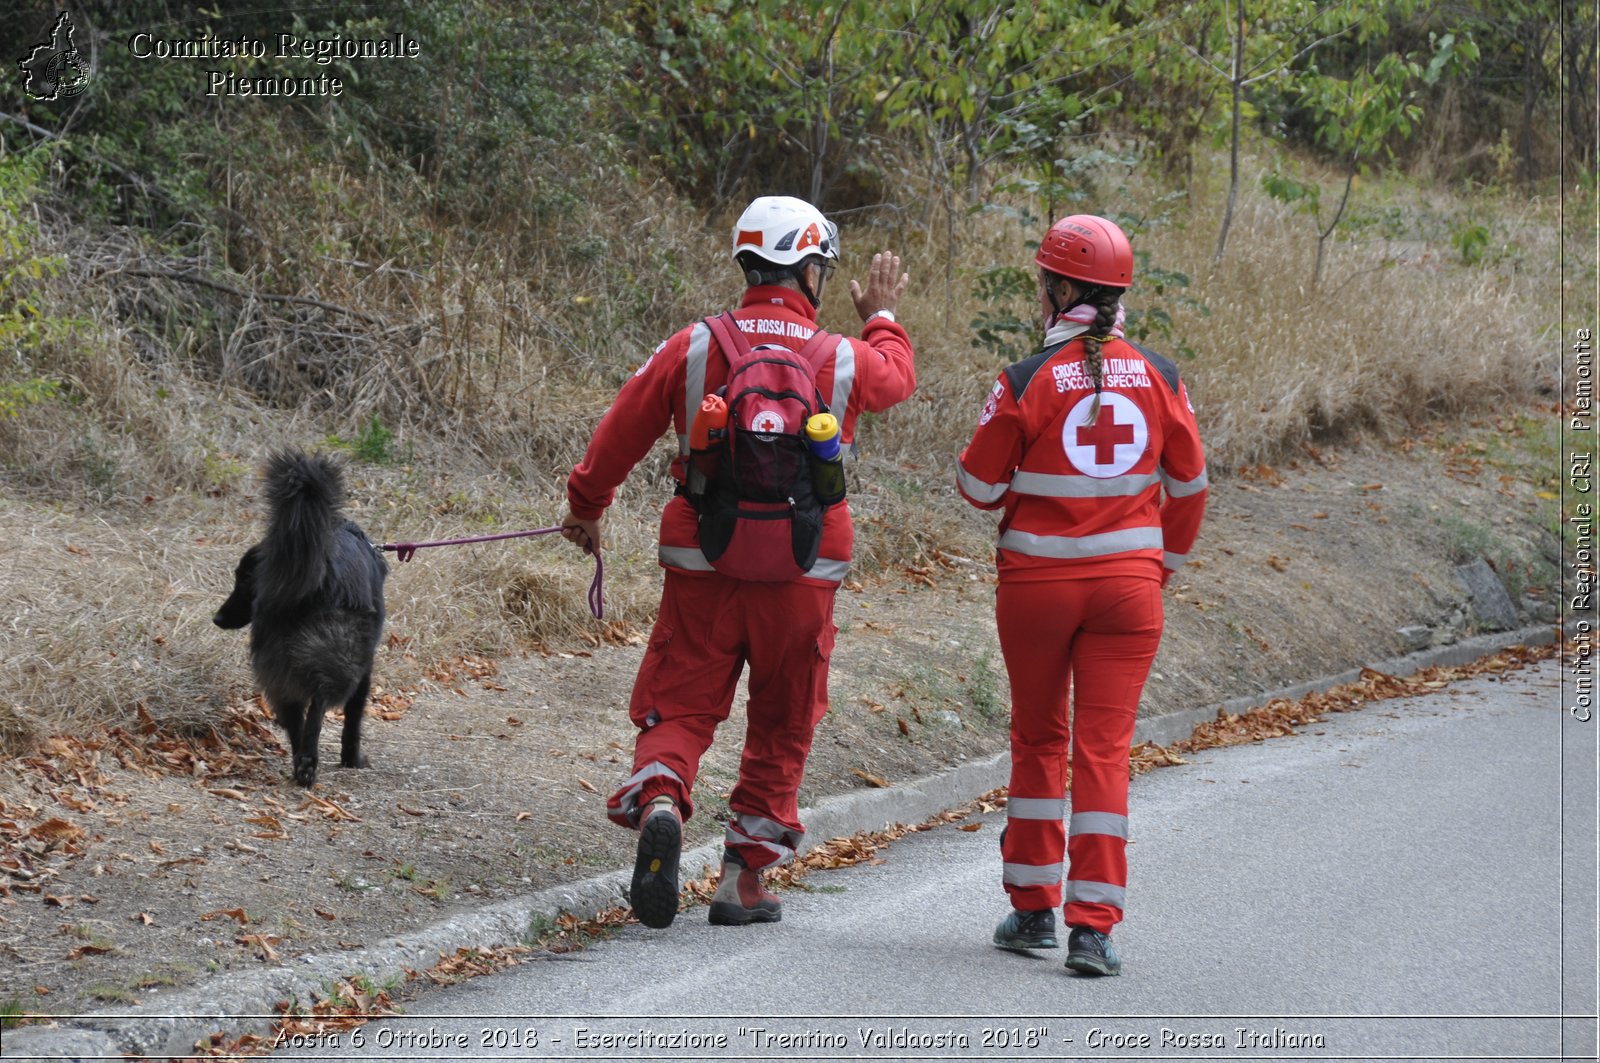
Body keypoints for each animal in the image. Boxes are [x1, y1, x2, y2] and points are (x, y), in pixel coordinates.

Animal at [214, 445, 388, 784]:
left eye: (244, 581)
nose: (217, 619)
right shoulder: (365, 669)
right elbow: (354, 718)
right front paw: (352, 759)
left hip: (277, 665)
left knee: (294, 715)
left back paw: (299, 764)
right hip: (342, 658)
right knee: (318, 705)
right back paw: (308, 763)